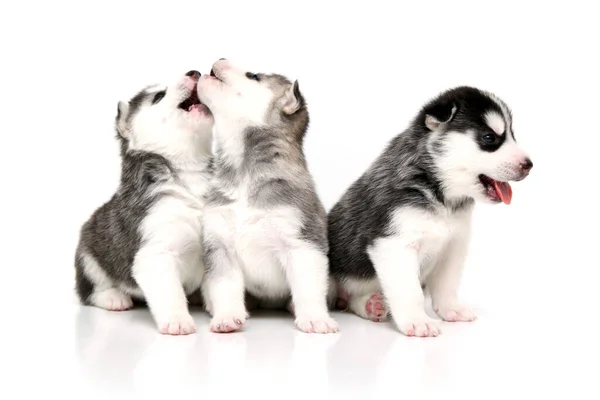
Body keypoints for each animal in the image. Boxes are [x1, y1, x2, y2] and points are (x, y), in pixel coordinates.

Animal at [74, 71, 214, 334]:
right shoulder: (156, 253)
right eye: (158, 96)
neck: (188, 172)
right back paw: (112, 297)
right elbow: (170, 292)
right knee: (90, 290)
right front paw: (177, 319)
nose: (194, 72)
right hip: (88, 253)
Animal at [196, 58, 338, 334]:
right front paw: (227, 316)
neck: (244, 175)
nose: (220, 58)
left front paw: (315, 317)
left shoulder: (302, 242)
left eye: (253, 76)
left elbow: (308, 286)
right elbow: (224, 286)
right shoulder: (219, 246)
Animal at [328, 86, 536, 338]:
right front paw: (417, 321)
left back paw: (371, 305)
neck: (441, 196)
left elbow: (447, 284)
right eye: (489, 138)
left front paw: (451, 309)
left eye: (513, 135)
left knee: (352, 301)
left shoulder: (454, 245)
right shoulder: (394, 244)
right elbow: (411, 291)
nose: (529, 165)